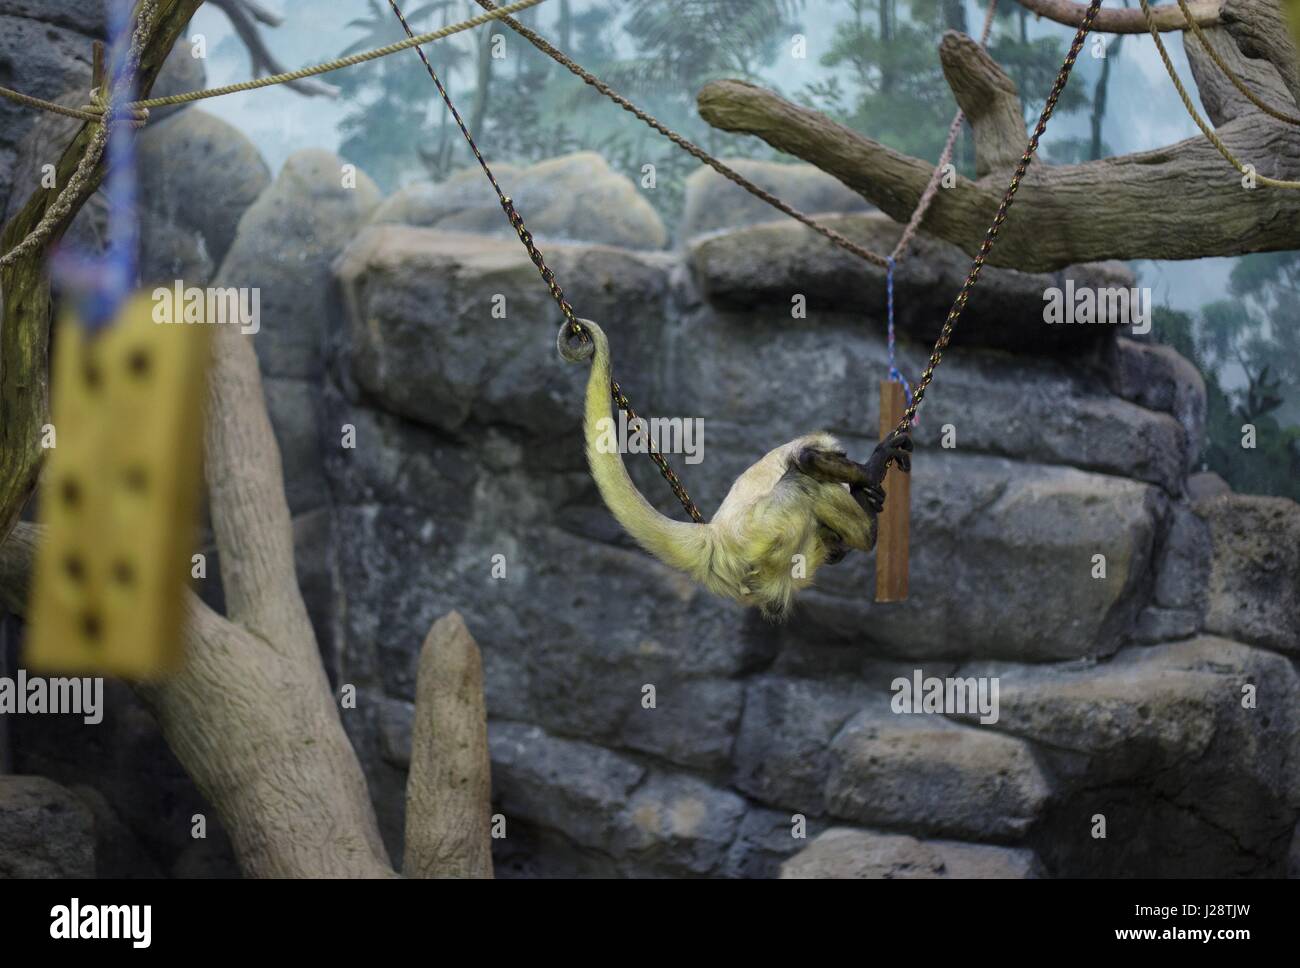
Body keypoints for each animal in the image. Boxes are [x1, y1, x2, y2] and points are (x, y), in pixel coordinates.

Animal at [559, 317, 915, 618]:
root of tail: (714, 535)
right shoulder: (822, 444)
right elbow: (806, 459)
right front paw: (872, 469)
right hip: (759, 536)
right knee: (804, 482)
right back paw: (868, 527)